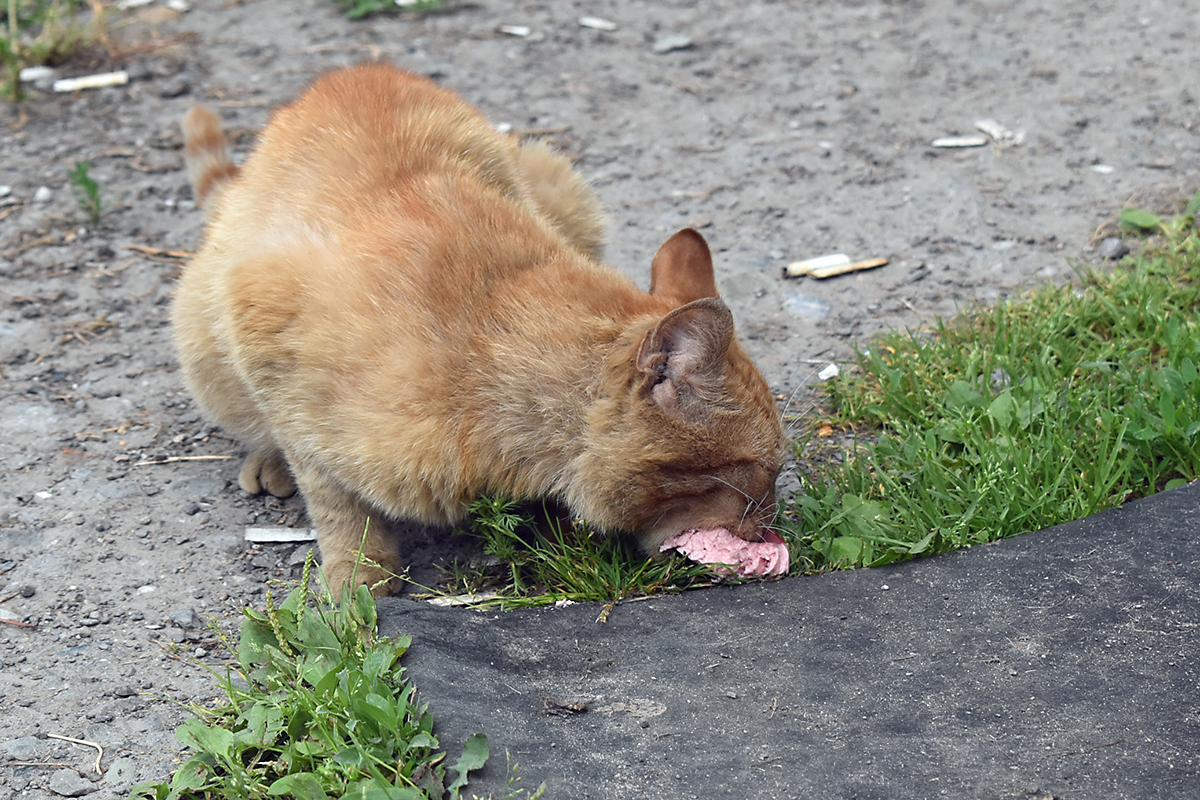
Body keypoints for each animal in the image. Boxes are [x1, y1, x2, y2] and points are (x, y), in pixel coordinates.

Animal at [174, 62, 782, 594]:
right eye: (757, 471)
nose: (770, 527)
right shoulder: (264, 320)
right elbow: (335, 498)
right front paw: (360, 573)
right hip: (203, 336)